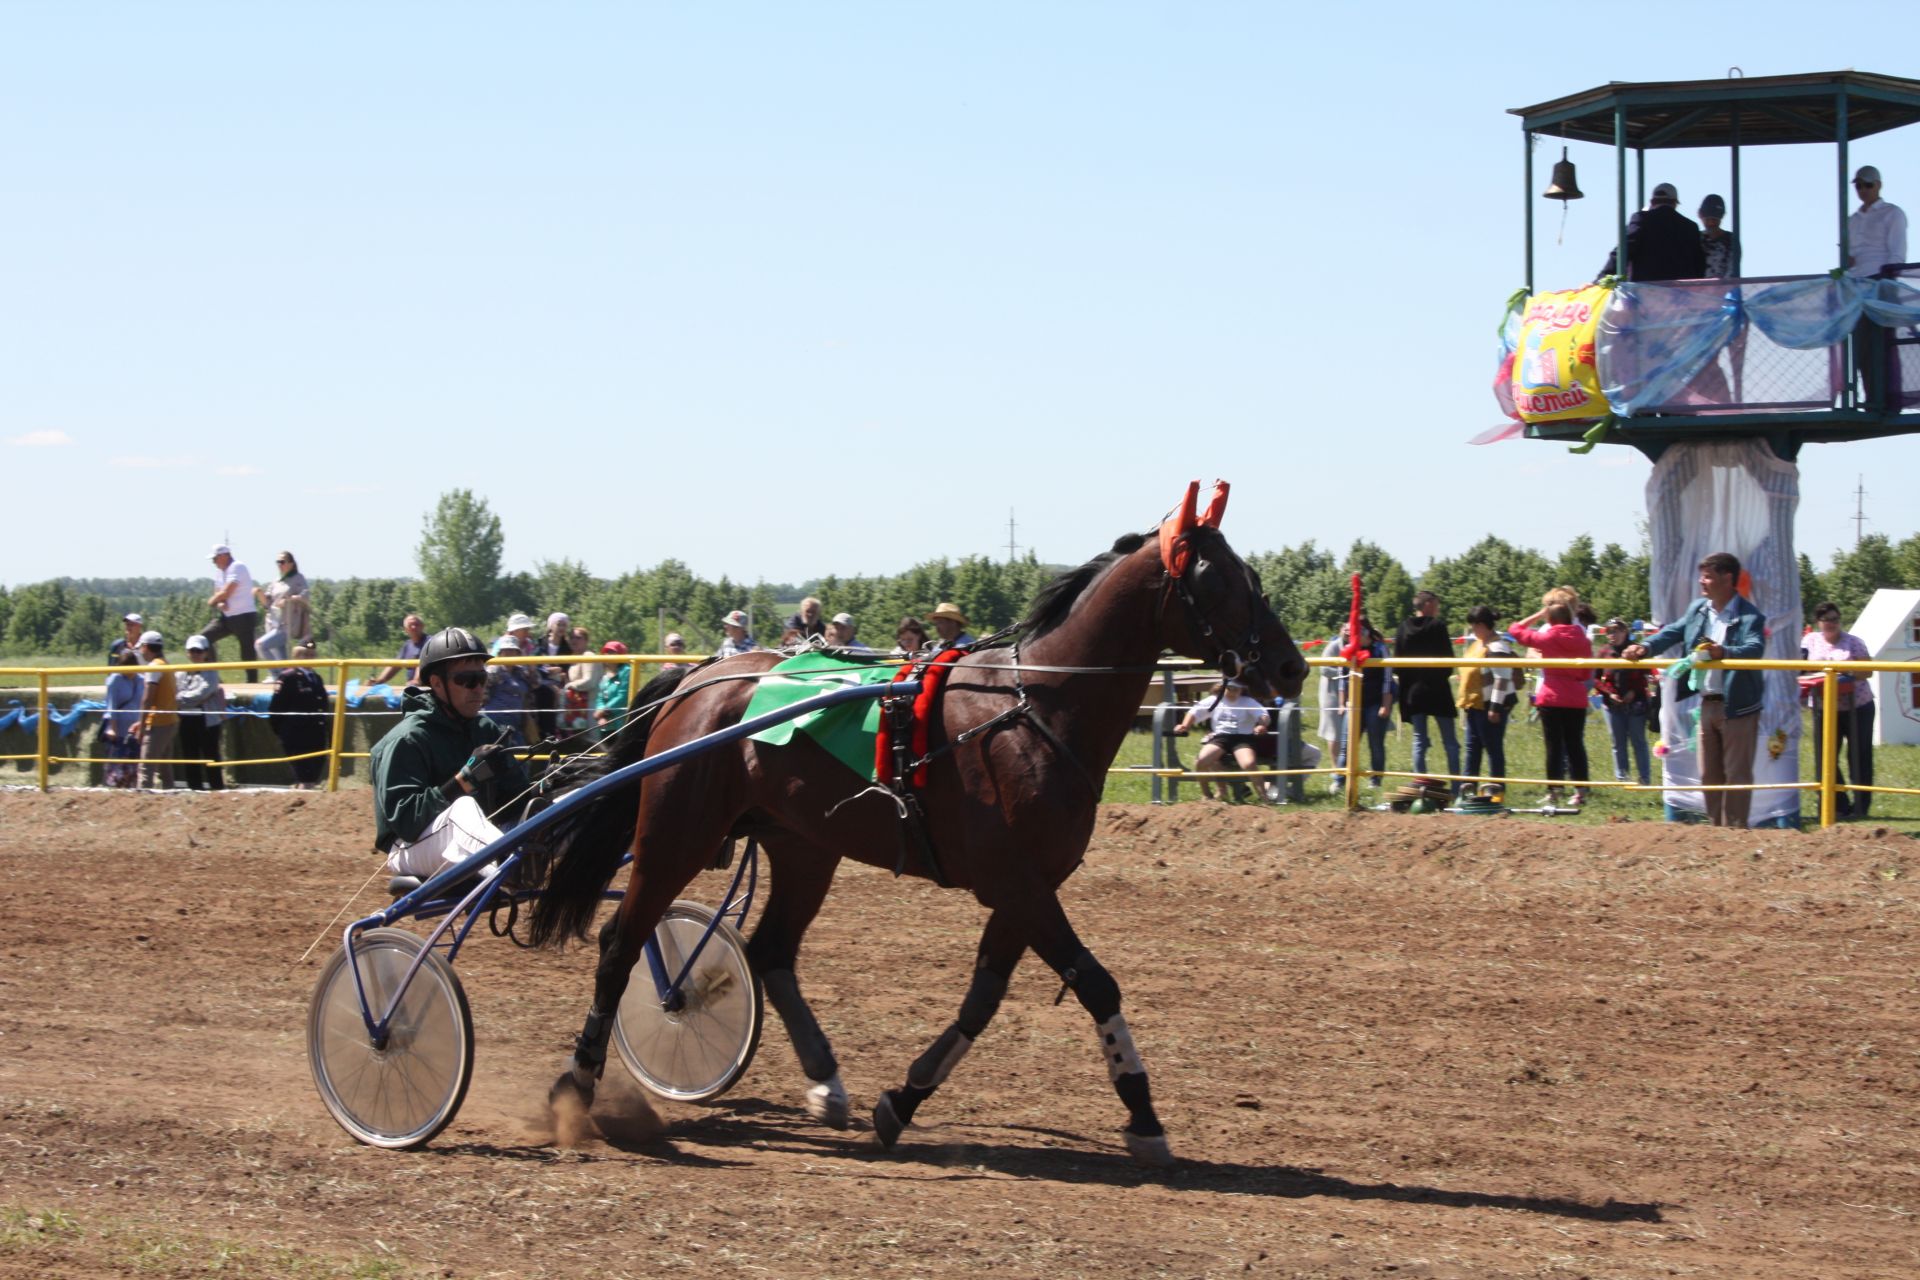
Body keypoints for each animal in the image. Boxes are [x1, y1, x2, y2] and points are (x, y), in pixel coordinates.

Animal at [526, 479, 1305, 1159]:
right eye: (1221, 579)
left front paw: (900, 1100)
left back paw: (826, 1082)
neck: (1034, 706)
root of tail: (697, 680)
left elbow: (982, 1002)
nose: (1292, 667)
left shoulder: (1025, 887)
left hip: (804, 845)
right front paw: (1143, 1113)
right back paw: (578, 1084)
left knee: (770, 950)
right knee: (621, 945)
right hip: (676, 833)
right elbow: (1095, 983)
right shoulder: (1015, 881)